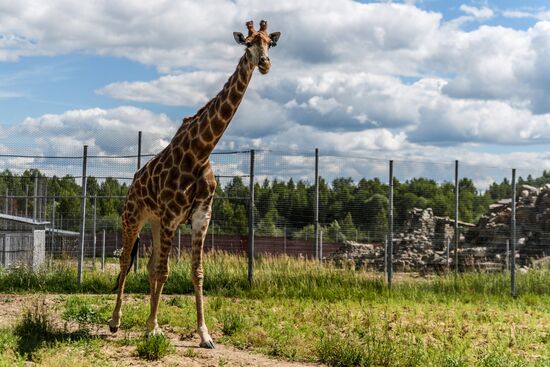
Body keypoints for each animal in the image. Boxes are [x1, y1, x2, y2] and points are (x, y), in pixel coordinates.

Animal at [106, 20, 280, 350]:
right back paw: (115, 321)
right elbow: (164, 271)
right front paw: (153, 330)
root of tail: (133, 182)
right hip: (133, 217)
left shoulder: (200, 216)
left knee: (149, 265)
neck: (201, 152)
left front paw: (204, 334)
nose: (265, 64)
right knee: (124, 261)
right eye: (248, 43)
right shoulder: (172, 216)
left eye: (270, 43)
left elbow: (196, 272)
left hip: (155, 222)